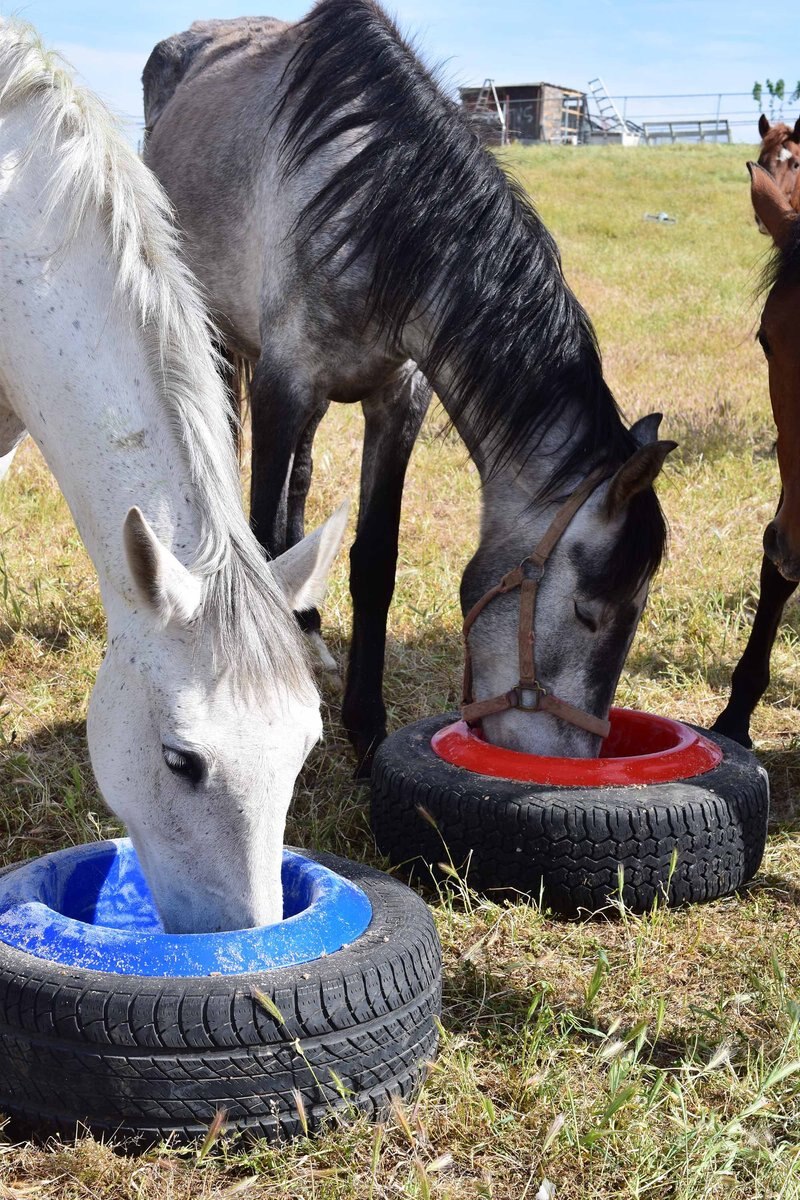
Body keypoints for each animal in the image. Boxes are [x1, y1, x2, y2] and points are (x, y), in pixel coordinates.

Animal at [145, 2, 676, 768]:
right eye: (588, 611)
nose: (565, 765)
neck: (374, 204)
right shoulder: (283, 385)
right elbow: (264, 540)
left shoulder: (398, 402)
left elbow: (375, 561)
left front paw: (365, 722)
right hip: (220, 340)